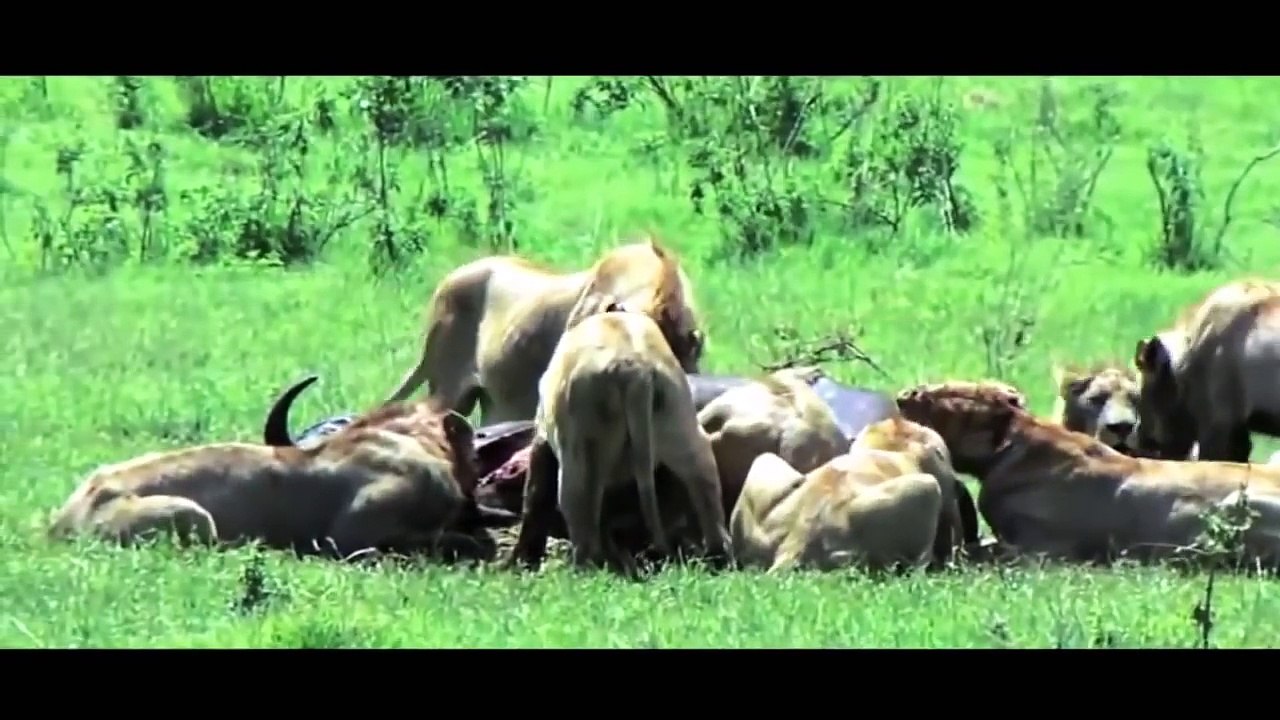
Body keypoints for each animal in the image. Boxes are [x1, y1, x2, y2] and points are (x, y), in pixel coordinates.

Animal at [507, 299, 732, 576]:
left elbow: (537, 492)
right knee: (703, 484)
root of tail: (635, 370)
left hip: (582, 445)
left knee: (581, 513)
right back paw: (717, 558)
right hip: (680, 421)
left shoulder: (543, 435)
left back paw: (584, 570)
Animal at [895, 379, 1280, 569]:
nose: (903, 395)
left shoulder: (1038, 546)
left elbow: (977, 551)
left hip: (1234, 505)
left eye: (950, 395)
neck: (1013, 445)